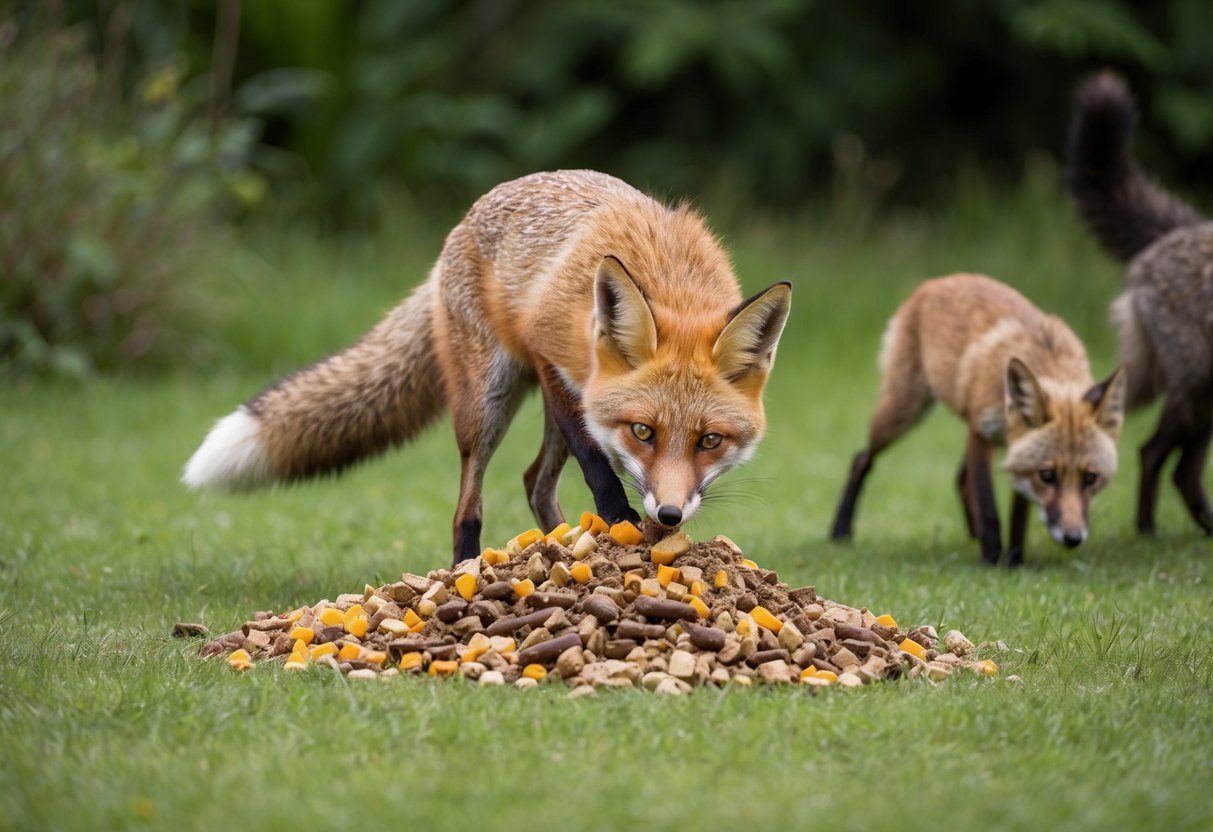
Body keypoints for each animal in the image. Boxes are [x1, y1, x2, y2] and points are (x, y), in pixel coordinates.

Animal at [183, 170, 792, 565]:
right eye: (643, 431)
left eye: (709, 441)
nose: (668, 516)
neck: (668, 276)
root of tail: (464, 220)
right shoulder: (551, 360)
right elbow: (599, 468)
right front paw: (620, 522)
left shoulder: (577, 393)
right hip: (489, 403)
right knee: (468, 507)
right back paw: (464, 572)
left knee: (534, 483)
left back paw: (559, 541)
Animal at [830, 274, 1126, 566]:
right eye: (1048, 475)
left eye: (1091, 478)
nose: (1073, 538)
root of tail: (935, 281)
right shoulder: (981, 432)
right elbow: (987, 504)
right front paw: (993, 558)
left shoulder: (1018, 453)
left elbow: (1018, 514)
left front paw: (1015, 559)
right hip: (903, 411)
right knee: (861, 459)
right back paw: (840, 531)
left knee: (960, 477)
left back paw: (974, 534)